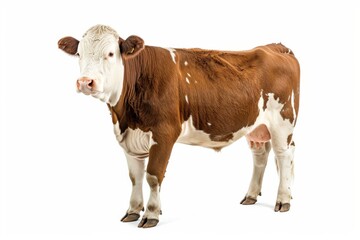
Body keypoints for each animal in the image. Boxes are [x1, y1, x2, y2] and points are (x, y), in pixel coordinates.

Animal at [58, 24, 300, 229]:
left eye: (110, 54)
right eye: (79, 54)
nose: (85, 82)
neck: (126, 116)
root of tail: (274, 47)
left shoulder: (164, 133)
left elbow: (153, 175)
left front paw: (151, 214)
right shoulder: (130, 137)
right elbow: (135, 176)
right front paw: (133, 211)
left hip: (282, 121)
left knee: (284, 155)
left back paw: (283, 200)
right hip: (256, 125)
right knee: (261, 155)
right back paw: (251, 195)